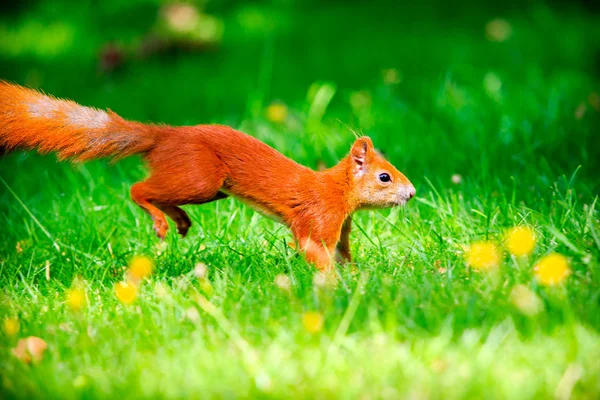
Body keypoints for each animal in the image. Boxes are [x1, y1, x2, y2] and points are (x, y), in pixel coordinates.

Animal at [0, 80, 412, 268]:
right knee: (138, 189)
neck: (336, 190)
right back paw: (162, 221)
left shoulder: (341, 227)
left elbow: (343, 252)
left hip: (209, 188)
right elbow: (315, 251)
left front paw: (357, 276)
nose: (411, 193)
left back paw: (179, 220)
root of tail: (166, 136)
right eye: (385, 177)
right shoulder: (318, 217)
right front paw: (336, 285)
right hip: (201, 178)